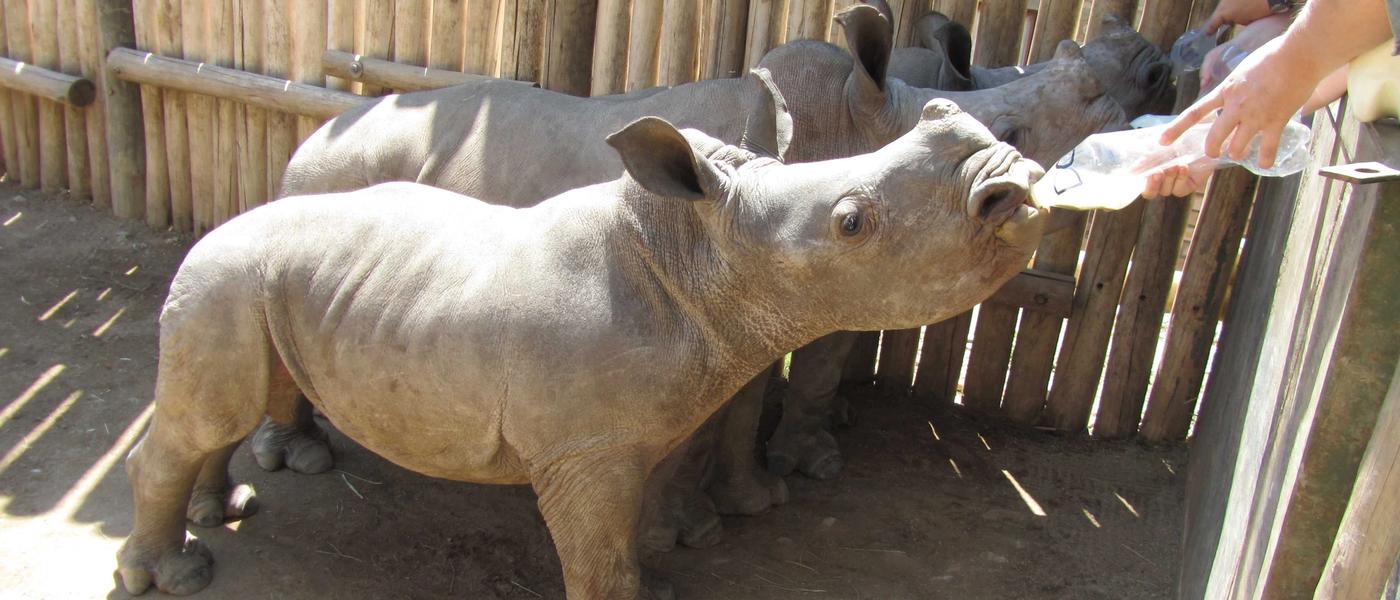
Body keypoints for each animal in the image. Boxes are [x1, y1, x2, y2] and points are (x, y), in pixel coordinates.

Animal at [116, 99, 1048, 600]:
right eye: (851, 223)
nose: (1009, 180)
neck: (702, 252)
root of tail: (219, 224)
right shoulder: (585, 447)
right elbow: (596, 545)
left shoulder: (663, 409)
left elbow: (640, 516)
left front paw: (662, 577)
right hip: (225, 278)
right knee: (205, 412)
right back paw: (178, 571)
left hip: (253, 284)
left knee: (219, 413)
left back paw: (222, 510)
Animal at [259, 2, 1123, 548]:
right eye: (1014, 128)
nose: (1126, 88)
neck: (843, 121)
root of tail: (313, 125)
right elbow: (716, 419)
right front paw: (698, 528)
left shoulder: (759, 296)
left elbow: (739, 408)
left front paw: (753, 503)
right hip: (324, 172)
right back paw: (296, 460)